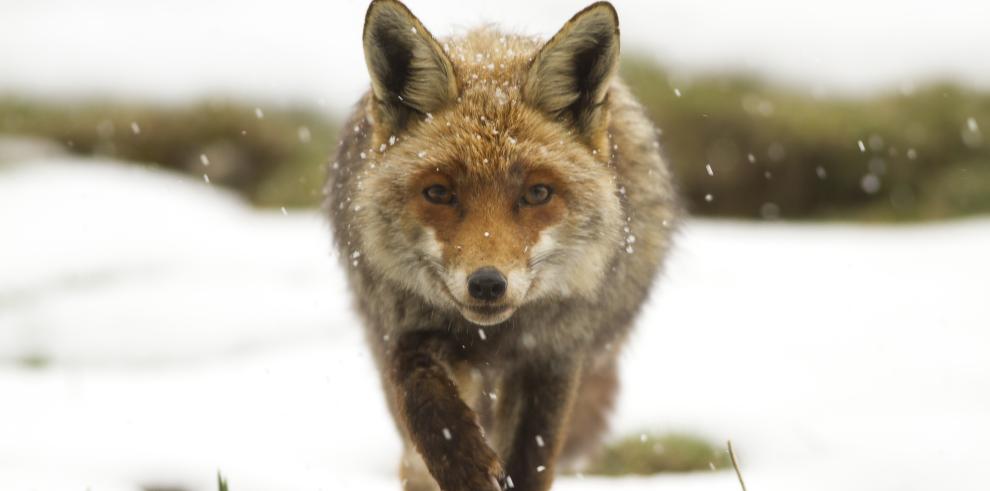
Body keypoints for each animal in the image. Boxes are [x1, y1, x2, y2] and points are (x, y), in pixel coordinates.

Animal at [328, 1, 680, 490]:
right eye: (439, 192)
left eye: (537, 193)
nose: (487, 284)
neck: (495, 337)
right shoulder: (407, 326)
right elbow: (428, 408)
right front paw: (467, 466)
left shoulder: (553, 355)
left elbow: (530, 462)